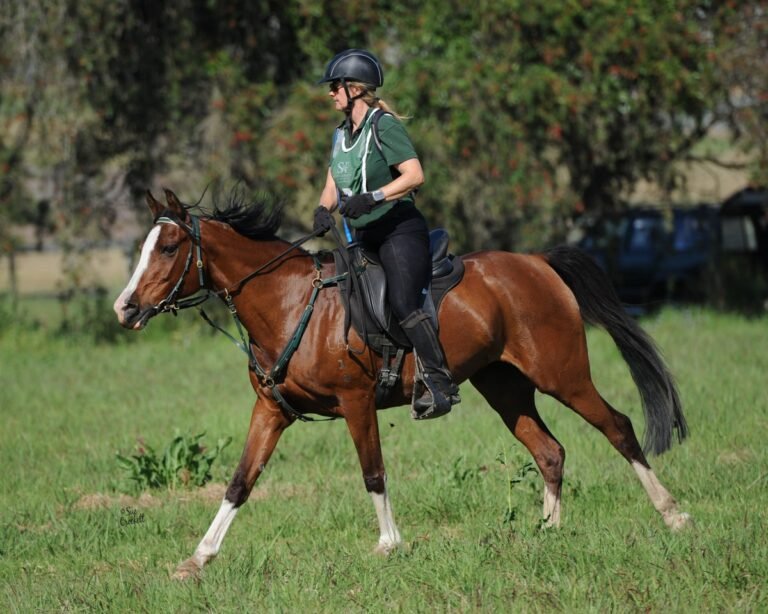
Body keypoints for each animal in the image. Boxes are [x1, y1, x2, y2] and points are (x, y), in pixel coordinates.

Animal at [113, 189, 691, 580]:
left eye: (168, 248)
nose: (125, 309)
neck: (289, 304)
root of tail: (537, 262)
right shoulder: (271, 411)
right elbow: (239, 483)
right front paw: (198, 559)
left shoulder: (356, 403)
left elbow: (373, 473)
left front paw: (389, 544)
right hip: (504, 385)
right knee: (549, 451)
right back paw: (547, 532)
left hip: (562, 374)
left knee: (618, 427)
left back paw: (673, 515)